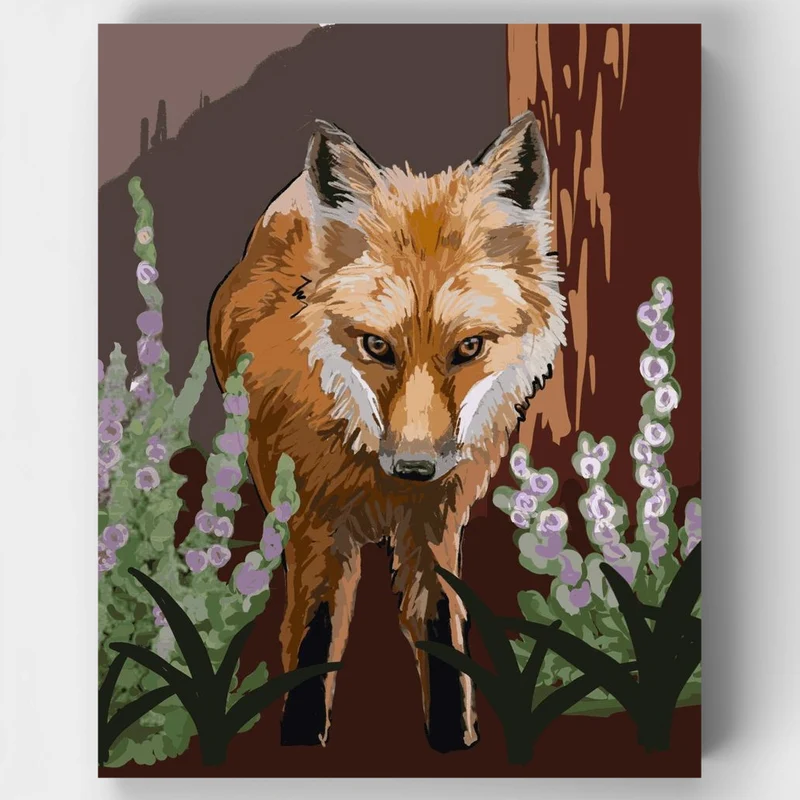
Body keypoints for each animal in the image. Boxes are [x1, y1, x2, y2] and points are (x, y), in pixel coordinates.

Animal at [208, 110, 567, 752]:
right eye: (377, 346)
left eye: (469, 347)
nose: (415, 467)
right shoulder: (316, 532)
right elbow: (312, 651)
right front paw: (300, 742)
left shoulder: (437, 529)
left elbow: (444, 645)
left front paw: (453, 742)